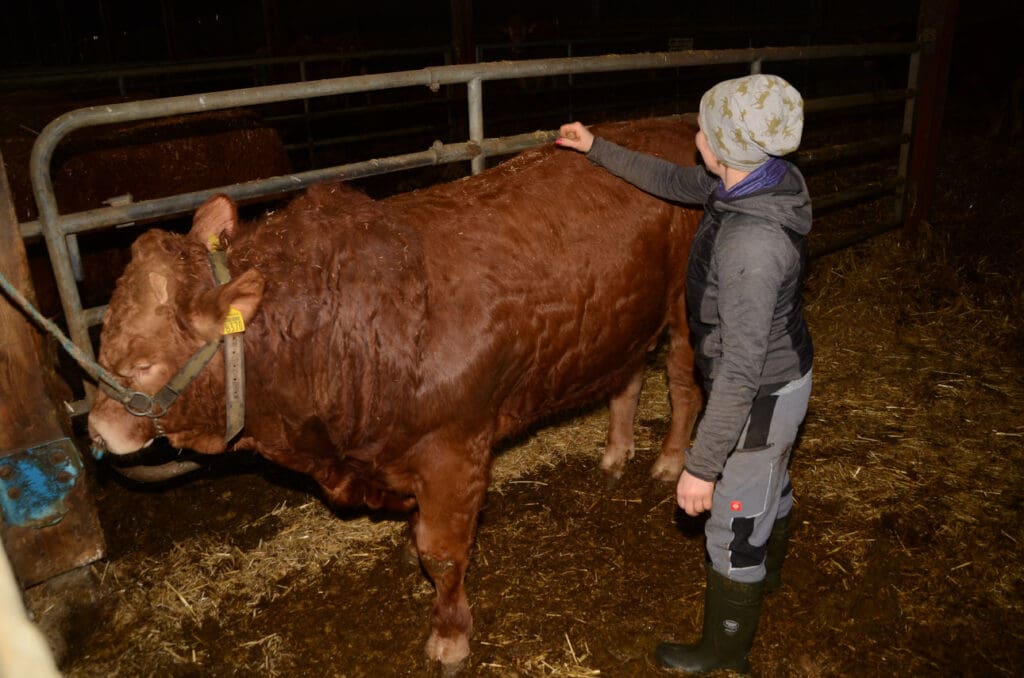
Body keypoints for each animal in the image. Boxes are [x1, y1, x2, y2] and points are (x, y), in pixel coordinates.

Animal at [88, 118, 704, 667]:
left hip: (685, 310)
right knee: (627, 376)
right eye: (104, 338)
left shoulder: (455, 447)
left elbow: (443, 553)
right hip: (622, 316)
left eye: (144, 363)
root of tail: (675, 129)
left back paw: (670, 460)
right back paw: (616, 451)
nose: (96, 430)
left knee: (683, 385)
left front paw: (450, 635)